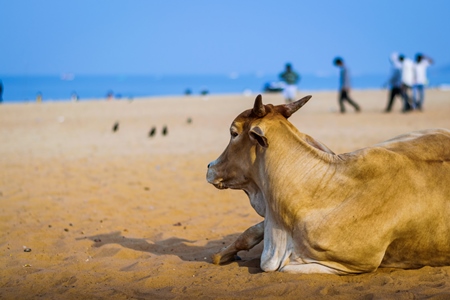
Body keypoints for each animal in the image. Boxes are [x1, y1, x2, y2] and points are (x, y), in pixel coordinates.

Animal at [207, 94, 450, 274]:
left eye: (233, 133)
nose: (209, 167)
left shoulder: (349, 265)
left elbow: (282, 267)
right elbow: (247, 234)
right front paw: (223, 255)